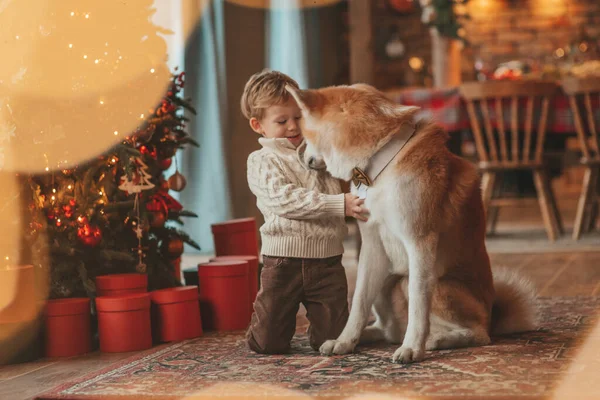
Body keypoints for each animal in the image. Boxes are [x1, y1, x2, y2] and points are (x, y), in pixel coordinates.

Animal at [286, 85, 540, 366]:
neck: (379, 167)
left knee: (478, 334)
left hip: (420, 284)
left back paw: (436, 340)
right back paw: (369, 335)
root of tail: (493, 314)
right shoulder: (371, 247)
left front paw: (412, 348)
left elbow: (419, 306)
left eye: (303, 133)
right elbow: (359, 302)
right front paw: (345, 341)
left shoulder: (419, 243)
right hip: (386, 282)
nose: (298, 152)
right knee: (387, 329)